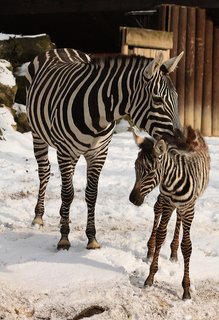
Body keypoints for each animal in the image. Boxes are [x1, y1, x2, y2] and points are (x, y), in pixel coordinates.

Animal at [25, 48, 183, 251]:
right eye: (157, 100)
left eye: (177, 98)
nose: (180, 141)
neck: (99, 115)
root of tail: (59, 49)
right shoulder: (66, 151)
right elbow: (68, 194)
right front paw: (64, 239)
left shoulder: (99, 153)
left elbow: (91, 194)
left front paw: (92, 238)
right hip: (38, 134)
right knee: (45, 172)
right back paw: (38, 216)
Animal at [129, 126, 210, 298]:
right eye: (135, 167)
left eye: (151, 172)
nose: (133, 199)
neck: (174, 182)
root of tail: (187, 131)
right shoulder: (167, 202)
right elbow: (161, 235)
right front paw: (150, 277)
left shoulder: (189, 208)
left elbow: (187, 246)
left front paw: (186, 288)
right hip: (166, 200)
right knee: (157, 208)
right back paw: (151, 248)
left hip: (183, 206)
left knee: (178, 216)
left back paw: (173, 252)